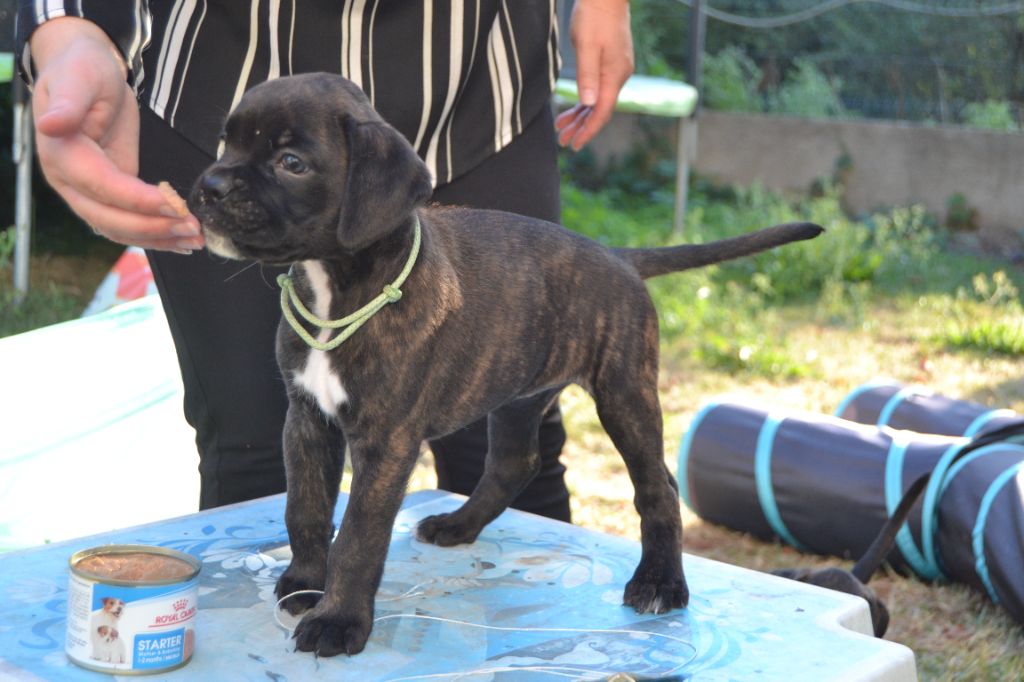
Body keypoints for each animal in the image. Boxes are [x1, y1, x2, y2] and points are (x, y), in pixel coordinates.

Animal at [186, 73, 823, 655]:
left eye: (291, 162)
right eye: (225, 143)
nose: (208, 187)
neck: (338, 286)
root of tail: (618, 256)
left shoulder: (384, 441)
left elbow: (361, 536)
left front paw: (338, 620)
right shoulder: (307, 418)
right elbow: (306, 508)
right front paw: (304, 583)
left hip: (624, 394)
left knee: (657, 488)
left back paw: (659, 583)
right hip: (520, 394)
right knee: (516, 462)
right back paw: (459, 524)